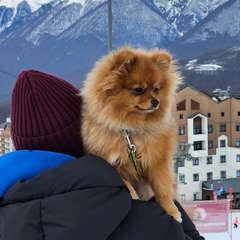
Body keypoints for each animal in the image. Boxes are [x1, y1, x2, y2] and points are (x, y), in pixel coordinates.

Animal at [80, 46, 182, 222]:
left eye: (156, 89)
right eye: (138, 89)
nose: (156, 101)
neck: (130, 129)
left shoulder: (156, 161)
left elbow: (163, 188)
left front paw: (172, 211)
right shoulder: (107, 158)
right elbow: (121, 178)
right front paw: (132, 193)